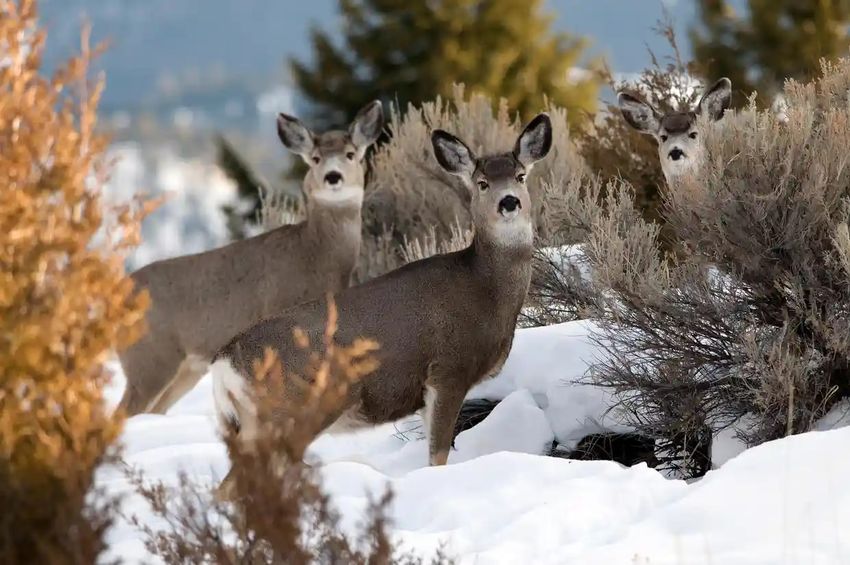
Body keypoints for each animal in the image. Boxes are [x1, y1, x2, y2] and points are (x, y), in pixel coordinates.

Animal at [117, 101, 382, 416]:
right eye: (316, 159)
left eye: (351, 154)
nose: (333, 176)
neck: (314, 255)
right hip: (149, 358)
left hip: (185, 369)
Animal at [212, 111, 552, 494]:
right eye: (481, 183)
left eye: (520, 175)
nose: (509, 202)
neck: (485, 289)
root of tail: (224, 363)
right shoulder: (448, 369)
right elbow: (437, 456)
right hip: (287, 412)